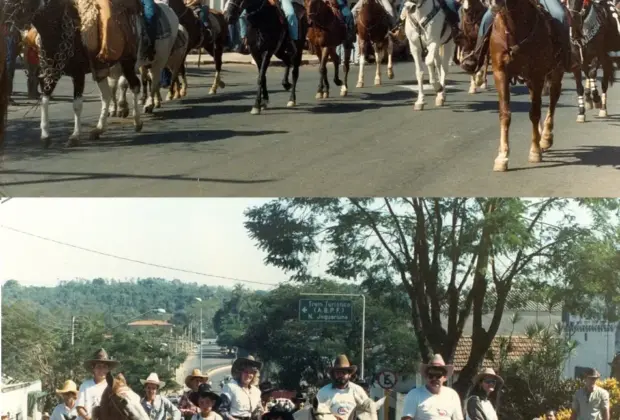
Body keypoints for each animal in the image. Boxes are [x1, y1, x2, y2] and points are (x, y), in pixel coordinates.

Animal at [486, 0, 564, 172]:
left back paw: (546, 138)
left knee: (553, 99)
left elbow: (534, 113)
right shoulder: (500, 72)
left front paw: (535, 151)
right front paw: (502, 156)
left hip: (556, 72)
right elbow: (505, 114)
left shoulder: (537, 74)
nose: (493, 3)